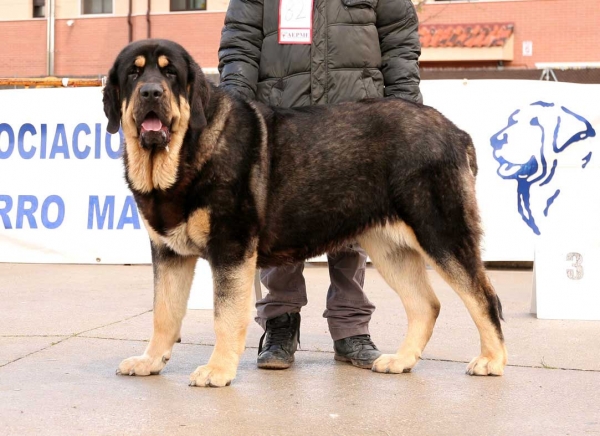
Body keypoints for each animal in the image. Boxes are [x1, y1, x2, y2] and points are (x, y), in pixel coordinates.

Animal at [103, 39, 506, 386]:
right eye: (133, 75)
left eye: (170, 74)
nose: (151, 93)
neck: (185, 152)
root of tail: (456, 133)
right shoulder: (168, 253)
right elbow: (164, 313)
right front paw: (150, 361)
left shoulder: (231, 248)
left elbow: (225, 315)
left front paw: (217, 370)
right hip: (389, 248)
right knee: (426, 305)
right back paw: (401, 360)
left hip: (441, 232)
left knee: (483, 297)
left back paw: (492, 361)